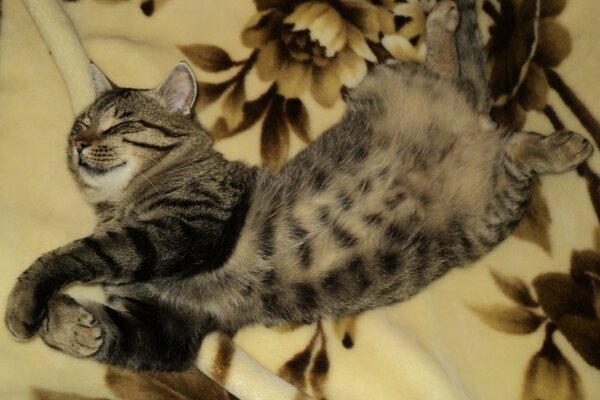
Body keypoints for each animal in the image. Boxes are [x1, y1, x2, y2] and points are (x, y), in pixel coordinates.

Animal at [5, 0, 596, 372]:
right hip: (464, 160)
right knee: (476, 95)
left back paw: (560, 141)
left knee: (495, 118)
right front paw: (71, 325)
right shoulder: (167, 325)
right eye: (79, 126)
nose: (80, 145)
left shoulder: (188, 228)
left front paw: (26, 307)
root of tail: (477, 123)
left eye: (119, 123)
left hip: (471, 171)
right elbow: (109, 327)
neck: (122, 200)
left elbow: (74, 254)